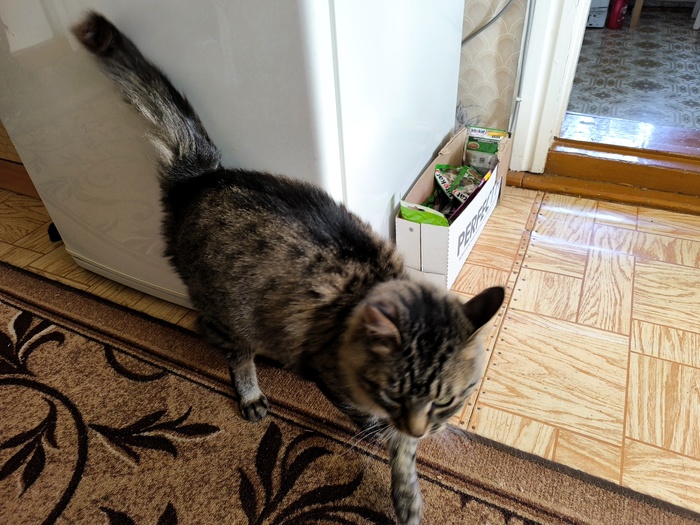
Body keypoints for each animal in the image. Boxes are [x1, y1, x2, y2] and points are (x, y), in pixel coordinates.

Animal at [72, 13, 504, 525]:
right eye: (395, 394)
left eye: (445, 401)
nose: (421, 428)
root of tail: (202, 177)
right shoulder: (330, 374)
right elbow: (377, 427)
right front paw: (385, 438)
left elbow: (404, 458)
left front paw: (407, 493)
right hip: (230, 308)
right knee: (230, 347)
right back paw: (249, 389)